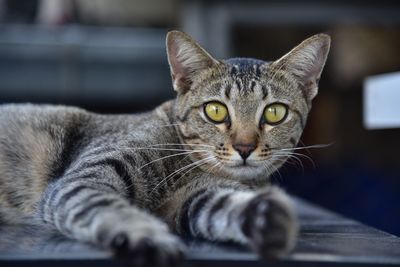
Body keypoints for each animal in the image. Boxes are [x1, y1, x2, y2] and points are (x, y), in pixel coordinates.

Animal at [0, 30, 330, 266]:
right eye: (215, 111)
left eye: (274, 113)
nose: (244, 147)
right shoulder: (86, 176)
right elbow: (101, 203)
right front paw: (142, 235)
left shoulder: (190, 200)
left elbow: (220, 207)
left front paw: (264, 217)